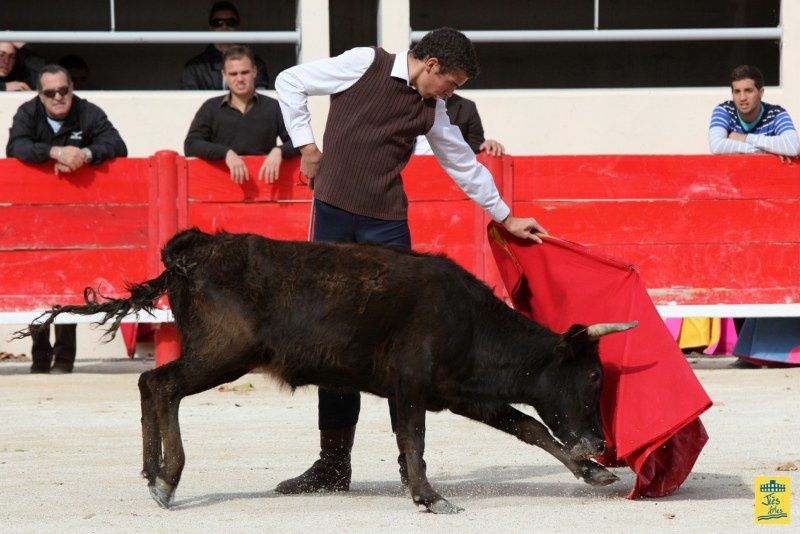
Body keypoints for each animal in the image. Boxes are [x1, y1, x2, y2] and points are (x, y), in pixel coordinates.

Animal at [18, 229, 636, 516]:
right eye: (593, 379)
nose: (599, 442)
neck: (469, 319)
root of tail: (196, 249)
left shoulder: (465, 394)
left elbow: (531, 428)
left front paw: (595, 475)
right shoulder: (411, 386)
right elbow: (414, 440)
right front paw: (429, 497)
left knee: (151, 384)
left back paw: (152, 474)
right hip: (225, 352)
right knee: (161, 384)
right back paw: (168, 479)